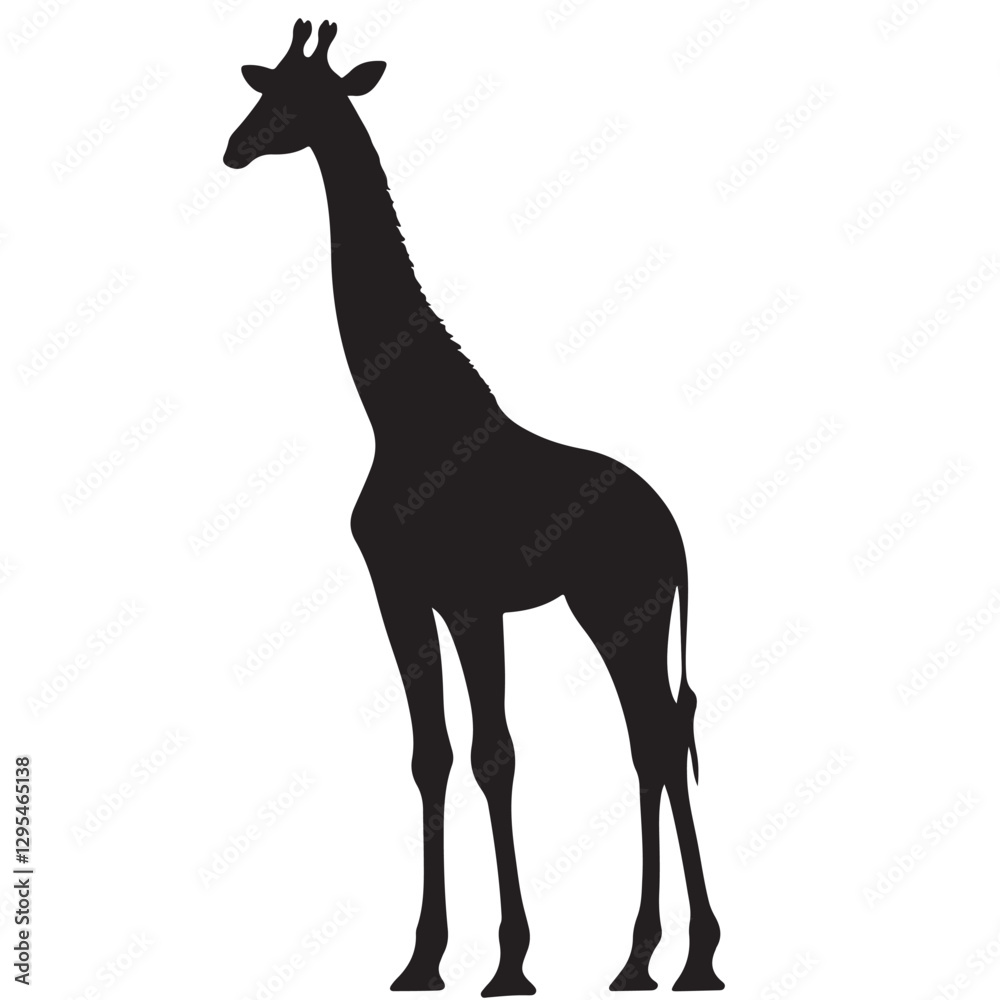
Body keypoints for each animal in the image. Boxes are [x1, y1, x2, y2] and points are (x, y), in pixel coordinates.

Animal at [224, 20, 724, 996]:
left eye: (298, 98)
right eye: (265, 88)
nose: (233, 147)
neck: (403, 419)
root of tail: (674, 532)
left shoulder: (468, 599)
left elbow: (496, 754)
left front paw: (510, 962)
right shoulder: (400, 593)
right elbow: (433, 756)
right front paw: (423, 958)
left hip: (625, 608)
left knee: (656, 737)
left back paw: (683, 959)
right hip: (611, 613)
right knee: (655, 737)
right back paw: (650, 958)